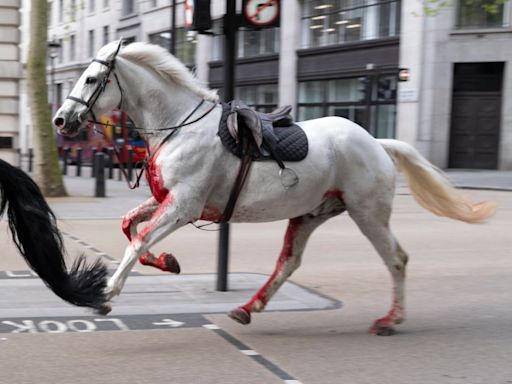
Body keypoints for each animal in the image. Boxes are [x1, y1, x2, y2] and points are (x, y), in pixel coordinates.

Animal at [53, 42, 496, 334]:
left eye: (91, 78)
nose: (60, 120)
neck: (179, 126)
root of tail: (376, 142)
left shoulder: (183, 205)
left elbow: (139, 239)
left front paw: (106, 295)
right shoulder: (168, 200)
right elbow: (130, 226)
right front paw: (167, 261)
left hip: (367, 213)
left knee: (397, 259)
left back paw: (391, 319)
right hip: (310, 214)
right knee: (289, 262)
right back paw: (250, 307)